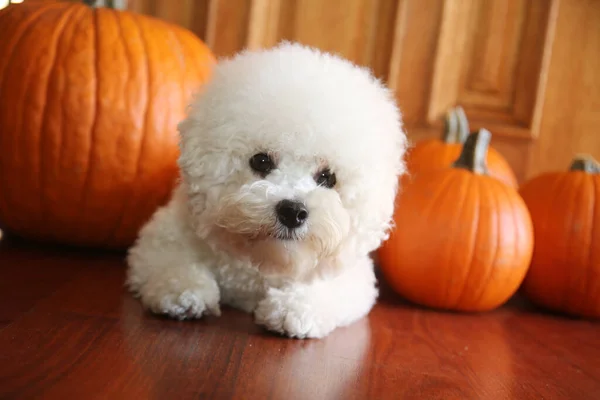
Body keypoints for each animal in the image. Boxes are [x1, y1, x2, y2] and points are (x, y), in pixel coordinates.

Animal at [126, 43, 408, 338]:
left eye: (327, 177)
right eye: (261, 161)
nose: (293, 211)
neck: (260, 262)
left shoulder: (350, 275)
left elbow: (327, 288)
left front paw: (292, 308)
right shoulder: (166, 236)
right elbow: (168, 259)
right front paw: (184, 292)